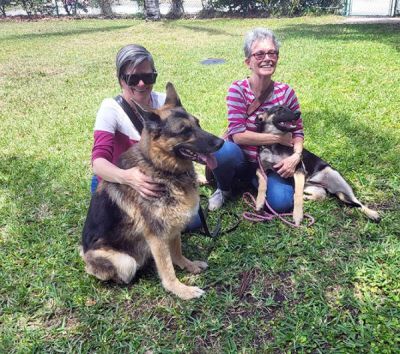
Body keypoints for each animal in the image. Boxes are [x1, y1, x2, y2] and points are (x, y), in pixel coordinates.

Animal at [80, 84, 225, 300]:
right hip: (124, 262)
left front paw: (187, 265)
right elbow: (167, 269)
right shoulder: (156, 236)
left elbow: (176, 252)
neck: (160, 167)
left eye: (197, 123)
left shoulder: (173, 227)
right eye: (184, 131)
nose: (221, 143)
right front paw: (181, 290)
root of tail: (83, 252)